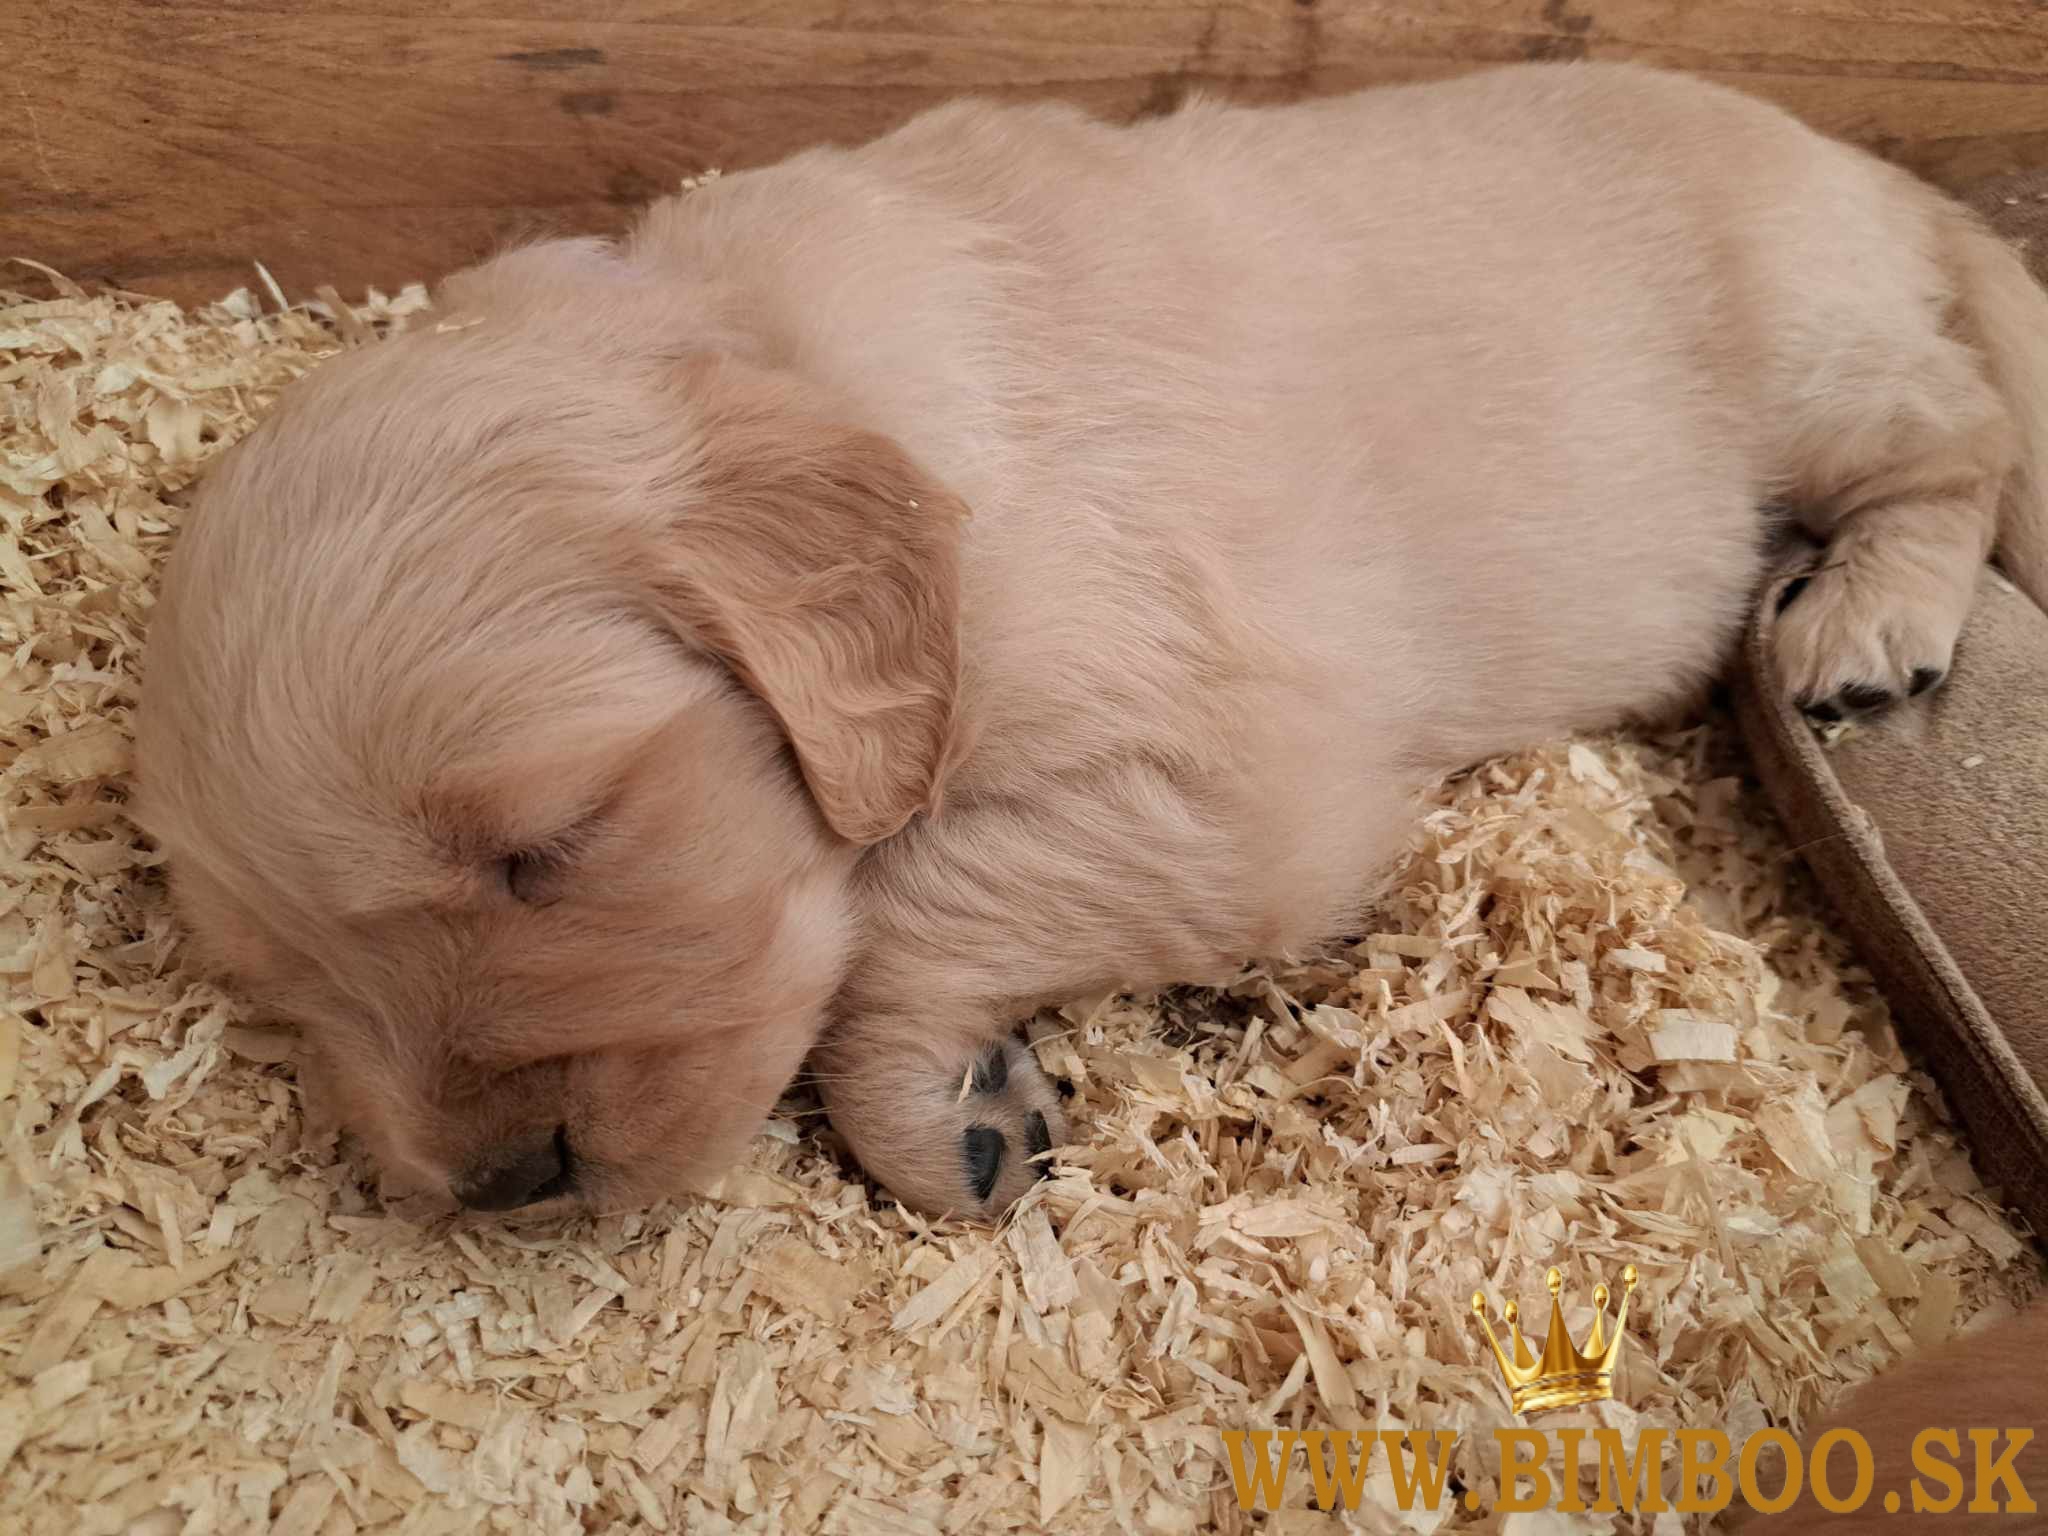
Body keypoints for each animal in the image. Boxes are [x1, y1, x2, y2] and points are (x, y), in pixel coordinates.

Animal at [136, 60, 2048, 1220]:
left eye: (550, 848)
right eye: (282, 978)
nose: (506, 1184)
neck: (808, 363)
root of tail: (1858, 165)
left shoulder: (1255, 782)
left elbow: (903, 899)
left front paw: (939, 1111)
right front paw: (964, 1103)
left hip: (1813, 363)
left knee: (1961, 433)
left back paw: (1870, 616)